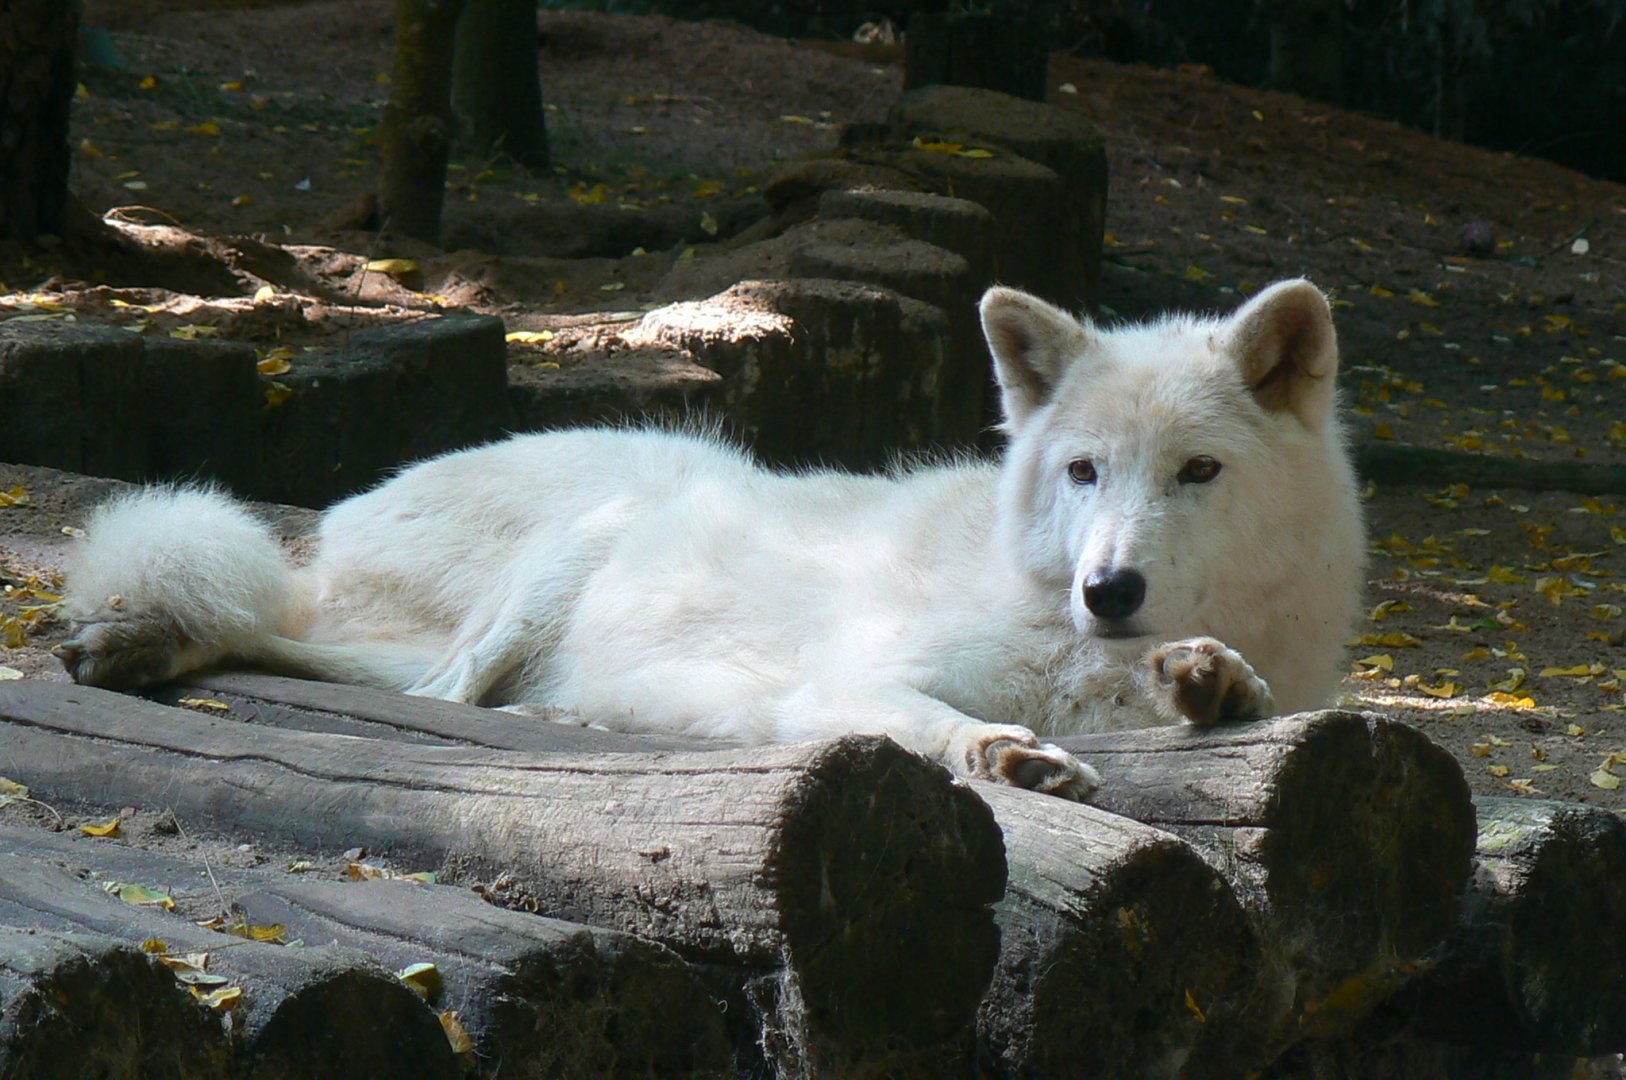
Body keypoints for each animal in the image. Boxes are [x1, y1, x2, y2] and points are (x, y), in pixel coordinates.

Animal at [58, 279, 1364, 800]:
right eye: (1085, 471)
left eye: (1198, 473)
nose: (1109, 589)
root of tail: (331, 529)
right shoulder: (851, 678)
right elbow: (936, 722)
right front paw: (1010, 754)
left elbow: (1223, 689)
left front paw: (1209, 680)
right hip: (622, 511)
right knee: (421, 690)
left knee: (306, 651)